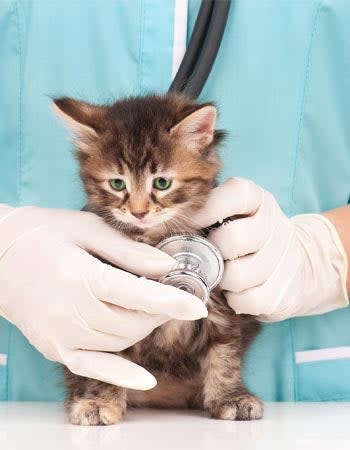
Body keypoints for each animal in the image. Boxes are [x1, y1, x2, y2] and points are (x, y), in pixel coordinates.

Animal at [54, 93, 262, 424]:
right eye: (117, 184)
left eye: (162, 183)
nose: (139, 212)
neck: (154, 239)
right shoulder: (109, 315)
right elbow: (107, 364)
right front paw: (100, 402)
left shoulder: (223, 312)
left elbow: (225, 357)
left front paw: (230, 396)